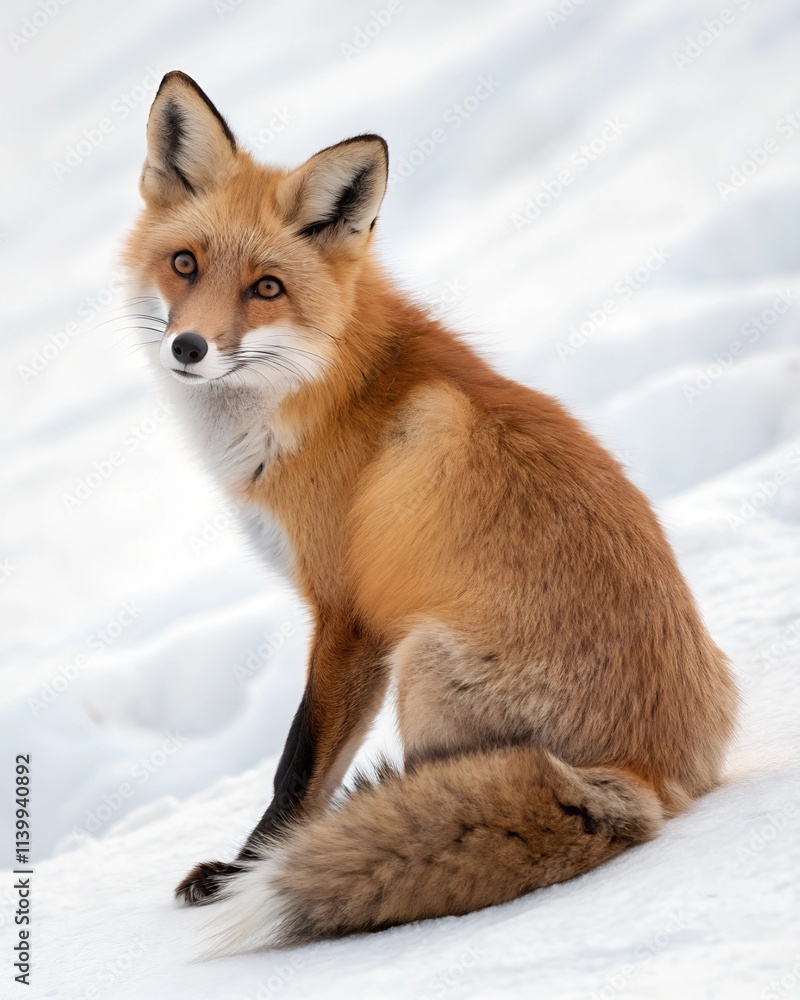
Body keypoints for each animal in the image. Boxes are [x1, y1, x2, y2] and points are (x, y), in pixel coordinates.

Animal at [124, 71, 738, 955]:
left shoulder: (349, 616)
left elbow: (299, 767)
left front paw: (250, 872)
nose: (189, 348)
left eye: (266, 288)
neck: (323, 386)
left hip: (422, 661)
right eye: (184, 264)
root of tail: (648, 777)